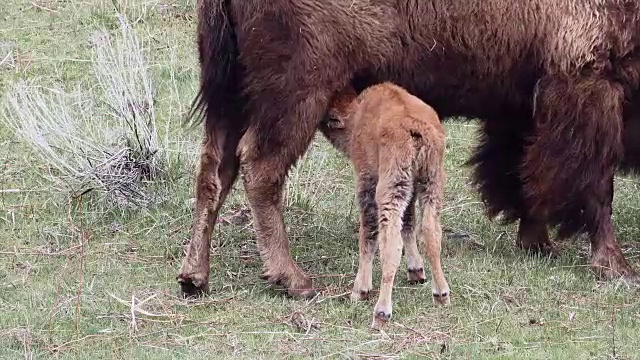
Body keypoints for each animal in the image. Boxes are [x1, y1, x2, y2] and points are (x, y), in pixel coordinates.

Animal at [178, 0, 640, 298]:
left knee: (215, 170)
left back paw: (194, 277)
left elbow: (524, 177)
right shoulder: (589, 85)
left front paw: (538, 244)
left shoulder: (526, 104)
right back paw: (293, 279)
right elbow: (594, 187)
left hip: (233, 94)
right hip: (296, 94)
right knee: (260, 168)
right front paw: (615, 265)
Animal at [320, 81, 450, 330]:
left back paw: (381, 312)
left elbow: (368, 234)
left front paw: (360, 290)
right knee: (431, 233)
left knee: (390, 244)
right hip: (432, 183)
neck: (358, 112)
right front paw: (416, 271)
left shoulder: (367, 180)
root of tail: (415, 128)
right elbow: (409, 223)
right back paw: (441, 294)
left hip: (391, 188)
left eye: (331, 119)